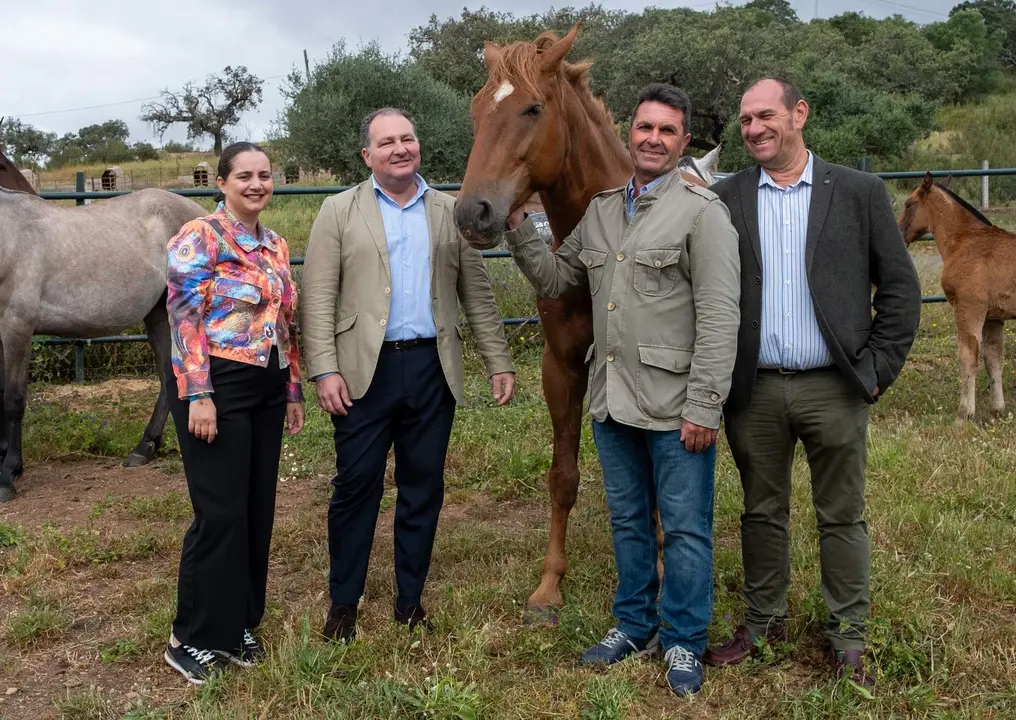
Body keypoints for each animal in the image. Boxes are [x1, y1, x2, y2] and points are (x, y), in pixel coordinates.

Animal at [0, 179, 206, 499]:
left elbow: (13, 400)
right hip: (159, 314)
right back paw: (144, 447)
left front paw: (8, 474)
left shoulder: (17, 327)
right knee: (169, 377)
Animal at [453, 23, 723, 617]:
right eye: (476, 110)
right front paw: (550, 583)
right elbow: (564, 476)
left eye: (533, 108)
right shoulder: (562, 369)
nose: (471, 213)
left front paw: (663, 570)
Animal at [898, 170, 1016, 420]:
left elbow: (967, 357)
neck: (965, 242)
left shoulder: (968, 308)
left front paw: (964, 414)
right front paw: (996, 411)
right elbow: (994, 359)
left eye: (909, 204)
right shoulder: (993, 316)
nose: (899, 234)